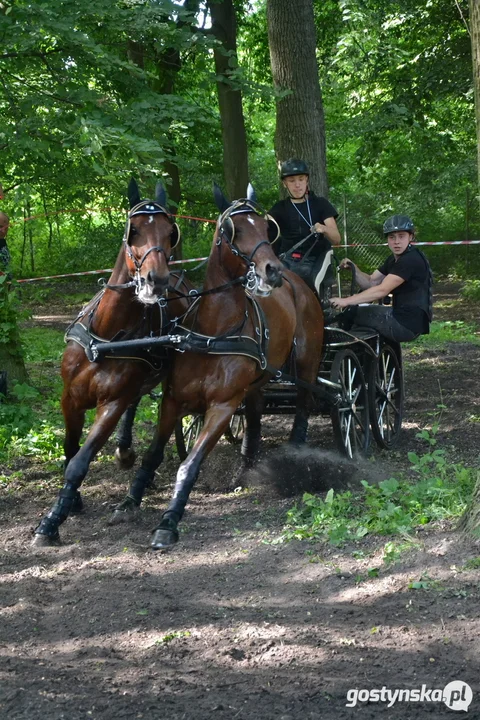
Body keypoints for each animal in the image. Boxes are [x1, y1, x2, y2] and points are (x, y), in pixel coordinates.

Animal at [31, 180, 189, 544]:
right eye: (134, 230)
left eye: (169, 232)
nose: (156, 280)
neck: (106, 335)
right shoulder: (69, 398)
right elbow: (70, 448)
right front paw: (71, 502)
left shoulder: (111, 403)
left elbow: (81, 461)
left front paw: (51, 521)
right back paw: (125, 450)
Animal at [110, 186, 324, 552]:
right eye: (230, 231)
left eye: (266, 228)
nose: (273, 271)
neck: (213, 332)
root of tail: (301, 284)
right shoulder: (173, 400)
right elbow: (153, 454)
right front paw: (131, 499)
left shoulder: (222, 407)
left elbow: (189, 465)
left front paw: (168, 521)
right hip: (259, 378)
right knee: (255, 414)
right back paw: (246, 466)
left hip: (307, 365)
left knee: (303, 407)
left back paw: (296, 456)